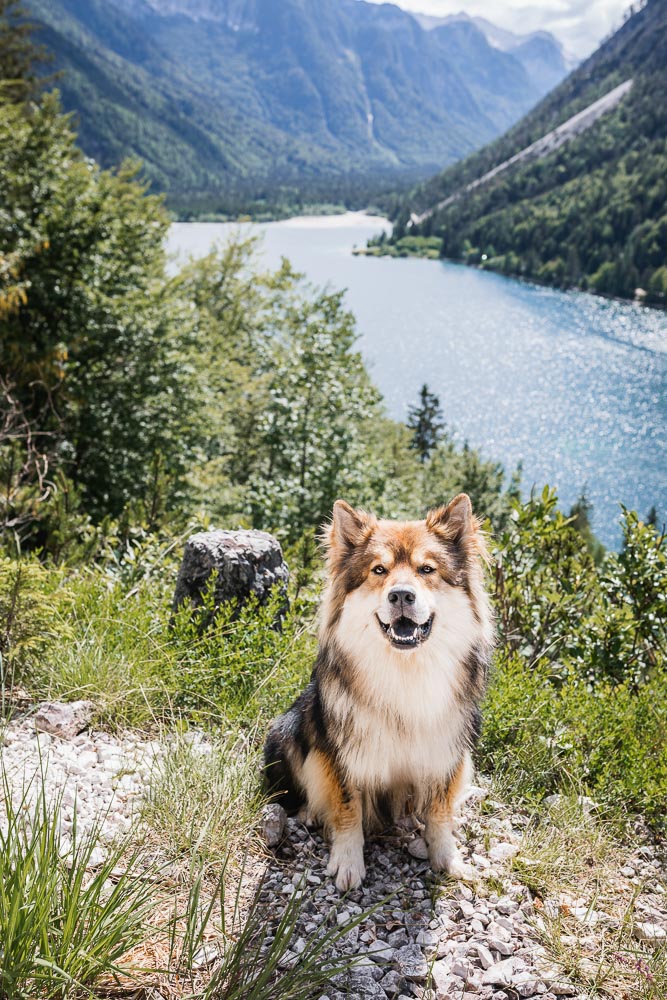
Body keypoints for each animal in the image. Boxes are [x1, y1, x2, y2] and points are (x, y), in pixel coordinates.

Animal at [264, 492, 494, 892]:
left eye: (427, 570)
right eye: (378, 570)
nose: (401, 595)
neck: (405, 668)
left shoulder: (446, 750)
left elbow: (438, 811)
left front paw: (446, 857)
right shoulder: (342, 754)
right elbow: (347, 808)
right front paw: (347, 861)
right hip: (286, 730)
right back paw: (309, 812)